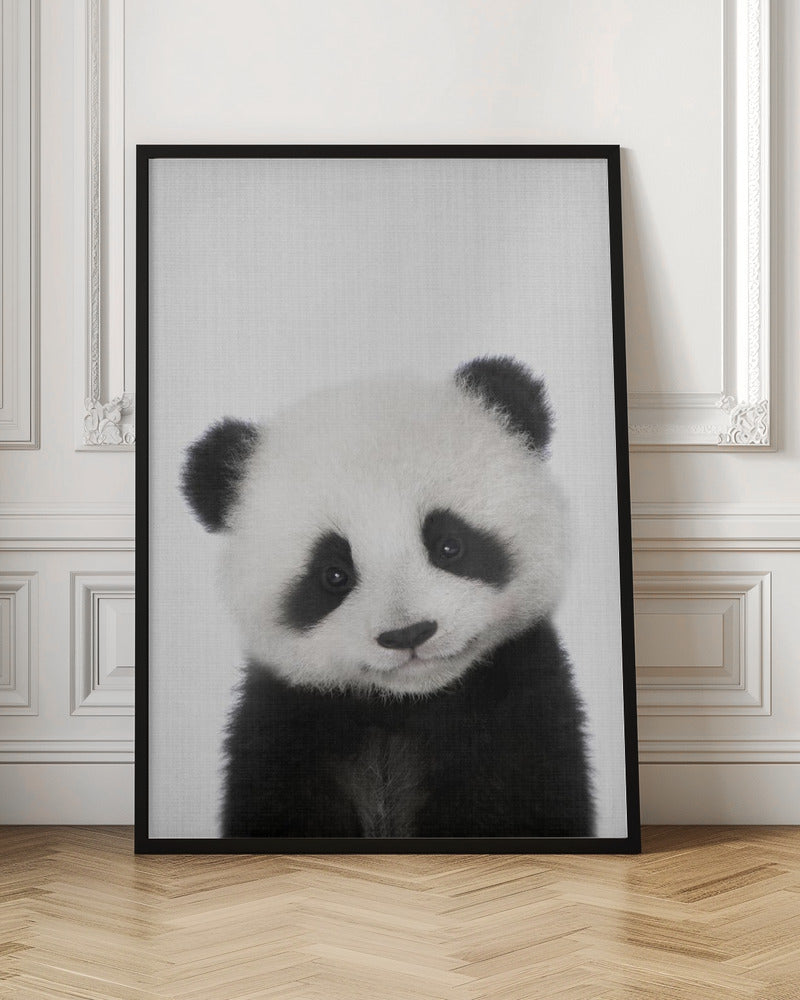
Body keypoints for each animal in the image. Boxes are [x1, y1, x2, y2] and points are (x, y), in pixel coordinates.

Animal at [181, 356, 595, 839]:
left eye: (449, 545)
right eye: (334, 574)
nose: (408, 634)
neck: (405, 707)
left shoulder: (521, 711)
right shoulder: (284, 730)